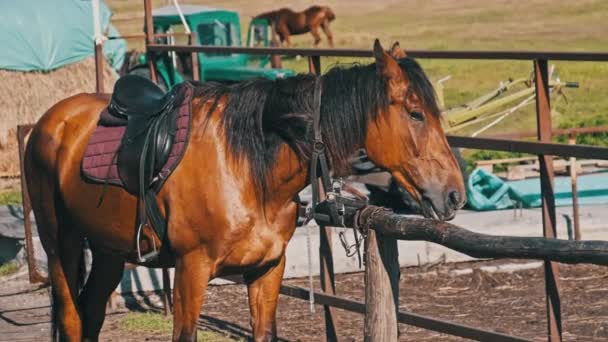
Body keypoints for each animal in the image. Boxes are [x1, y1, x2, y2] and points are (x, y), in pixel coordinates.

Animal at [21, 40, 464, 342]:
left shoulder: (267, 271)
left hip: (110, 250)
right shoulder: (191, 271)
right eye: (415, 113)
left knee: (92, 312)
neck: (251, 171)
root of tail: (52, 120)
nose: (455, 194)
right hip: (61, 243)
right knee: (73, 317)